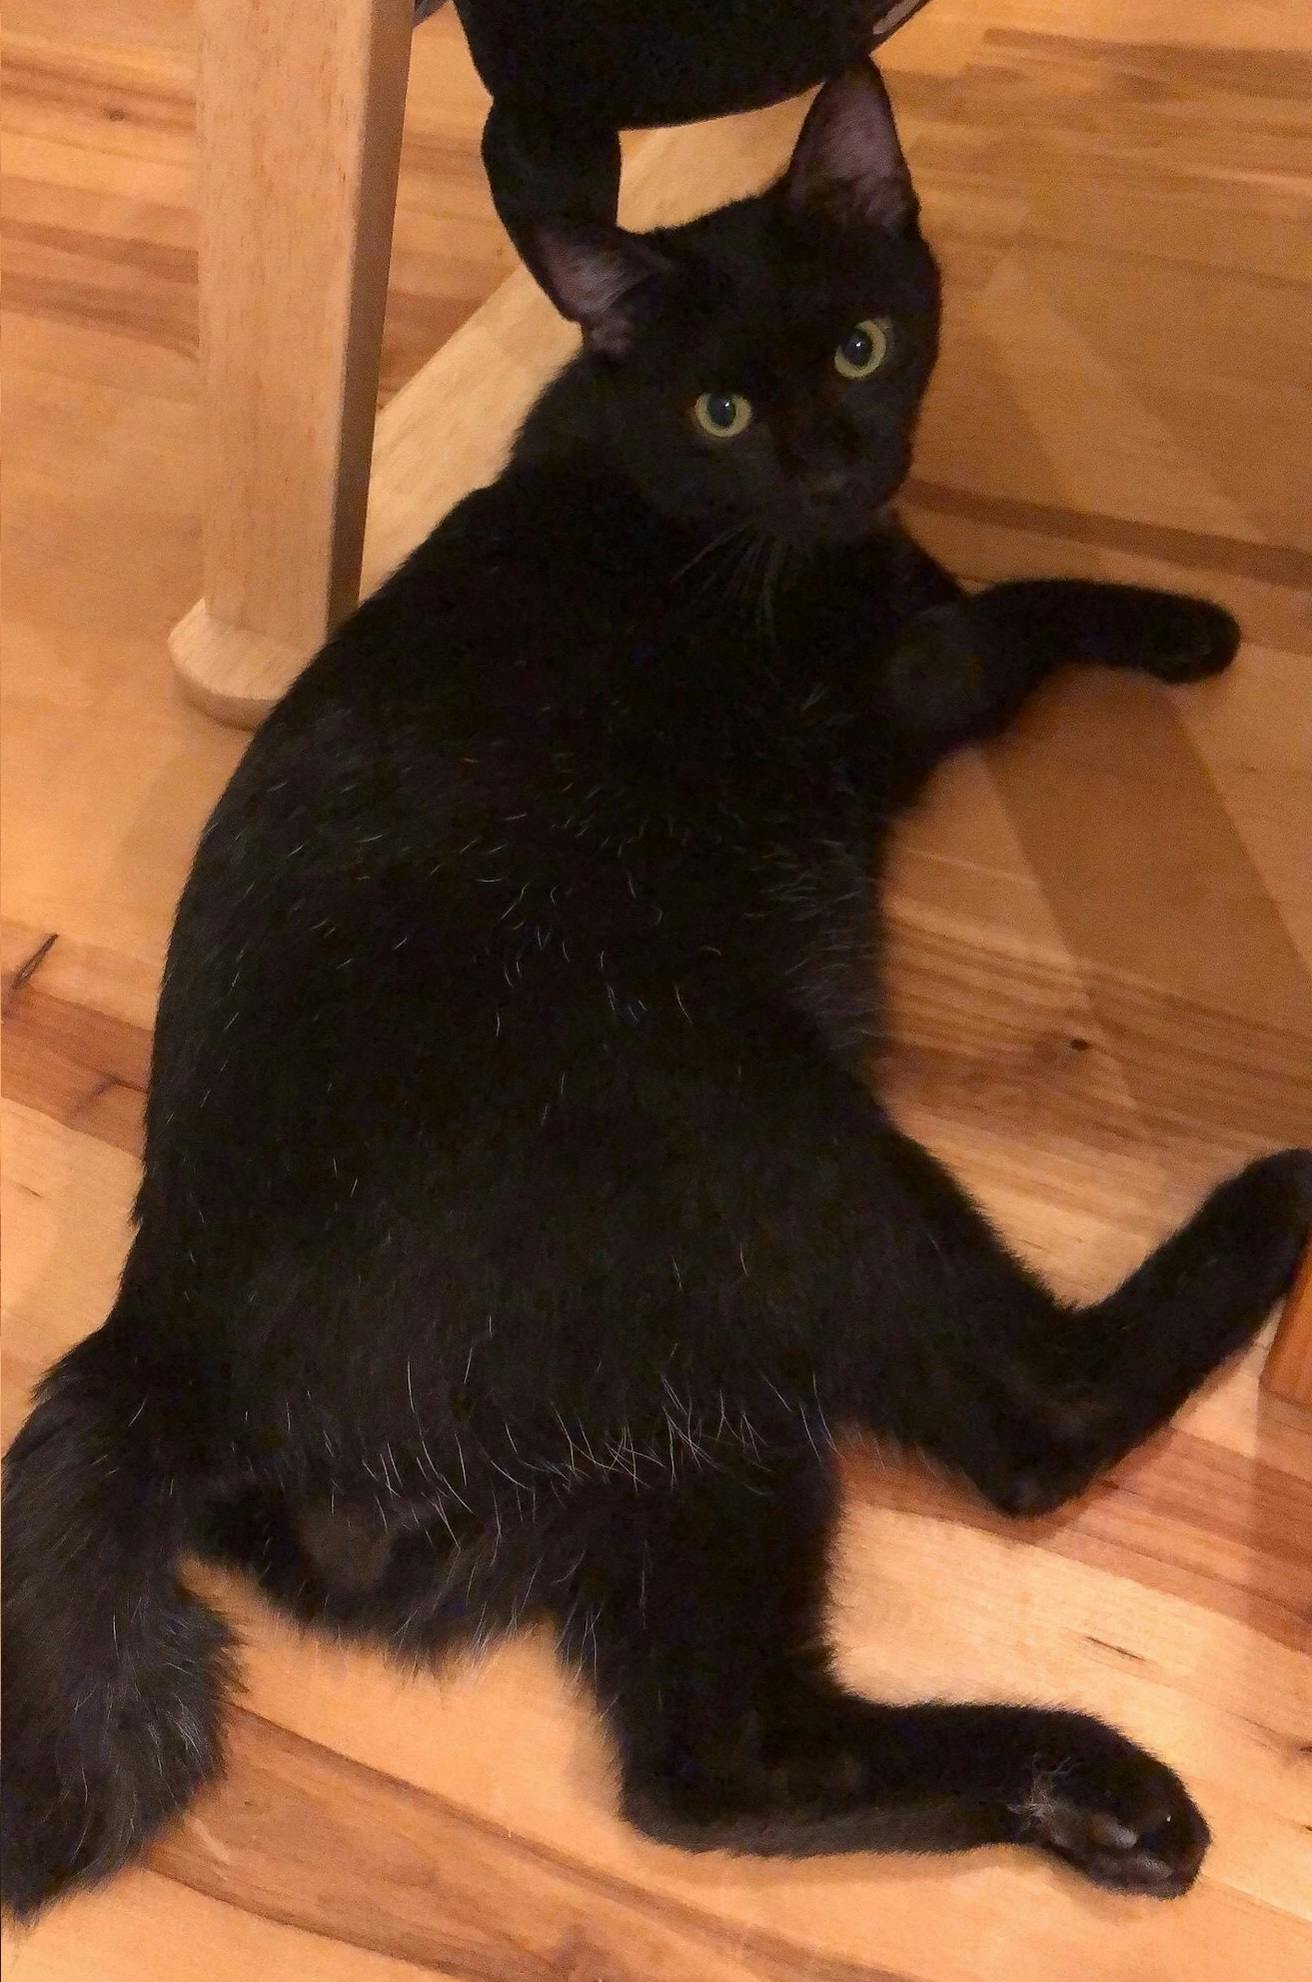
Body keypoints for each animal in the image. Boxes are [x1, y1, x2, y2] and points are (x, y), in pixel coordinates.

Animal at [4, 62, 1309, 1918]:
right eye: (722, 409)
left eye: (859, 347)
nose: (834, 465)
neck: (642, 467)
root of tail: (153, 1345)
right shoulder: (905, 683)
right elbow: (1007, 613)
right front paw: (1180, 619)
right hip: (757, 1128)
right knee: (1031, 1421)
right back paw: (1277, 1197)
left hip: (682, 1447)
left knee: (715, 1763)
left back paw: (1102, 1798)